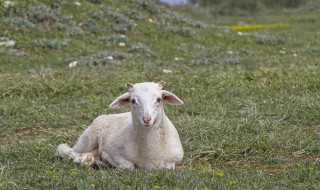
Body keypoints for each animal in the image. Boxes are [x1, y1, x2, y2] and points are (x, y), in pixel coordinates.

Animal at [56, 81, 184, 170]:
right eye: (133, 101)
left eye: (159, 99)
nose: (147, 119)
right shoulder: (113, 150)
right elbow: (129, 166)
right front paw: (106, 159)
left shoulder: (174, 160)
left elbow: (168, 167)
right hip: (88, 139)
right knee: (67, 151)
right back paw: (86, 159)